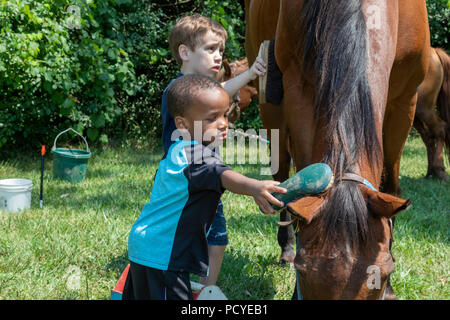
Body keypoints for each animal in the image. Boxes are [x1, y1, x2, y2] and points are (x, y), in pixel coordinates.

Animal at [244, 0, 430, 300]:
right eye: (303, 270)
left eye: (385, 272)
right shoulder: (296, 88)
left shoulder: (405, 101)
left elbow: (390, 183)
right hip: (271, 105)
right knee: (281, 173)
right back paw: (286, 247)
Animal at [414, 48, 450, 182]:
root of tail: (434, 50)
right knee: (428, 136)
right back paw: (431, 172)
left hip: (424, 108)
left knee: (440, 129)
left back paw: (439, 170)